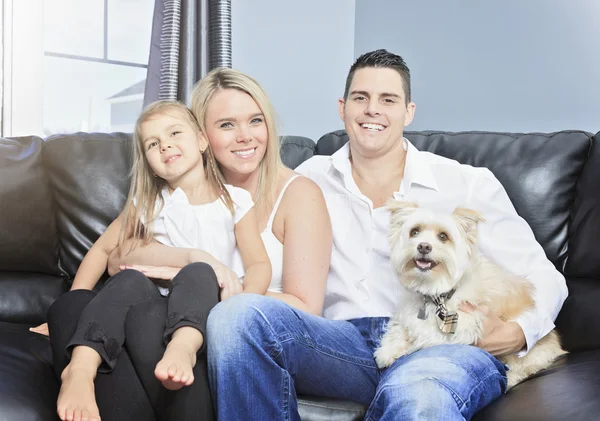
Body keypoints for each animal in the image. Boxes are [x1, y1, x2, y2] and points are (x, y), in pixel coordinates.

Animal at [376, 200, 568, 388]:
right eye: (414, 232)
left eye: (443, 236)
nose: (423, 246)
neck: (438, 292)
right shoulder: (408, 311)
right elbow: (399, 327)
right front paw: (388, 350)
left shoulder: (467, 324)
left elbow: (427, 334)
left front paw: (410, 345)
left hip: (524, 357)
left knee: (521, 370)